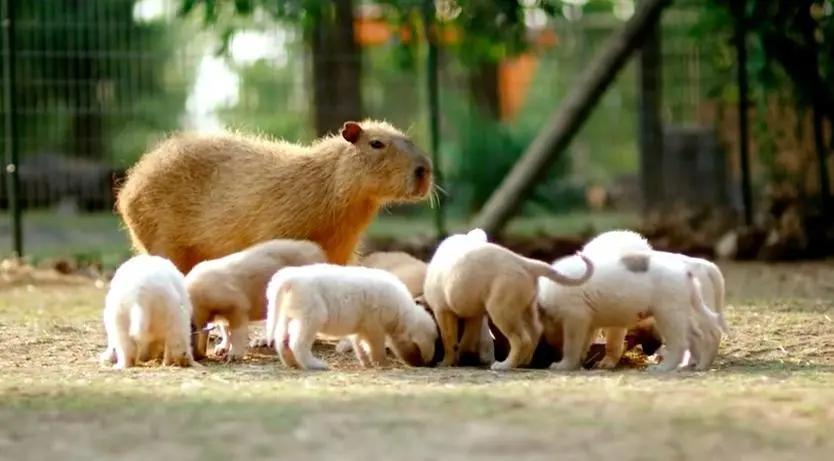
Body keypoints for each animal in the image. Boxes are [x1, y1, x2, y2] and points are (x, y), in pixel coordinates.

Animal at [184, 239, 326, 362]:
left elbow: (236, 332)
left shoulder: (238, 306)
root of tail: (318, 252)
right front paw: (220, 349)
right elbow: (225, 330)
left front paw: (232, 356)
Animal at [264, 262, 436, 370]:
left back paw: (291, 363)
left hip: (288, 316)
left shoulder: (361, 327)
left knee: (282, 341)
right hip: (311, 316)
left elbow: (359, 345)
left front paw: (366, 363)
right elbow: (376, 347)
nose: (427, 364)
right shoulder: (374, 326)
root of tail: (290, 279)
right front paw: (382, 364)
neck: (401, 311)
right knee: (297, 343)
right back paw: (315, 365)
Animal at [536, 248, 720, 370]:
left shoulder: (575, 319)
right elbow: (583, 344)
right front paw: (578, 363)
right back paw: (700, 365)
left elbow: (571, 345)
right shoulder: (588, 324)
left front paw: (562, 365)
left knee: (682, 342)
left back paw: (663, 368)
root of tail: (686, 270)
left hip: (669, 314)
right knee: (703, 334)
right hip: (684, 312)